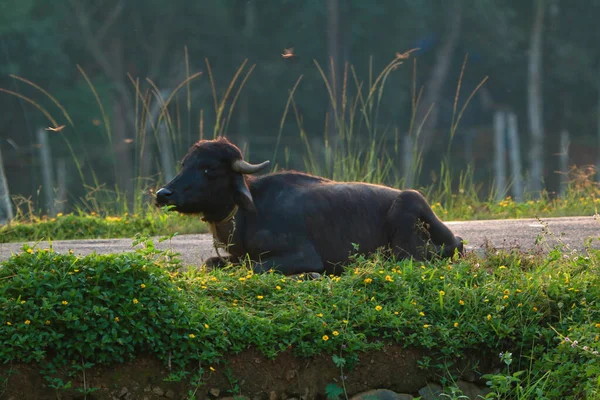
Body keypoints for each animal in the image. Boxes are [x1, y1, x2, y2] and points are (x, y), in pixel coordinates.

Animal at [155, 138, 464, 276]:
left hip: (408, 221)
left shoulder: (303, 254)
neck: (247, 214)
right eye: (184, 164)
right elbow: (211, 263)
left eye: (208, 169)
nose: (163, 194)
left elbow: (257, 267)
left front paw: (311, 274)